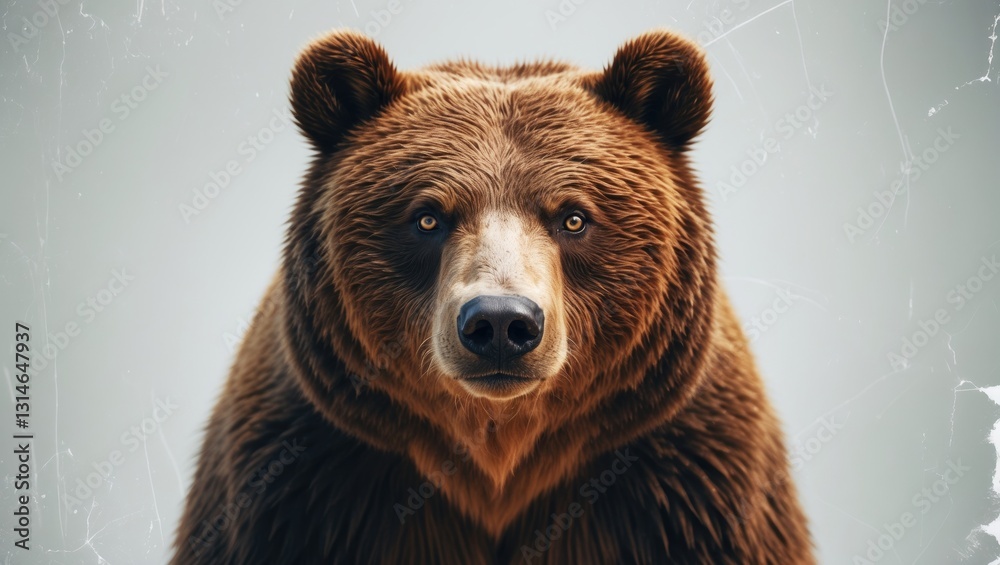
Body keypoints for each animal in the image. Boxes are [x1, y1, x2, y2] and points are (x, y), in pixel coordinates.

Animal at [171, 29, 814, 564]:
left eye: (573, 217)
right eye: (427, 217)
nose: (501, 323)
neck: (497, 462)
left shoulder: (690, 490)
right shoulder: (300, 486)